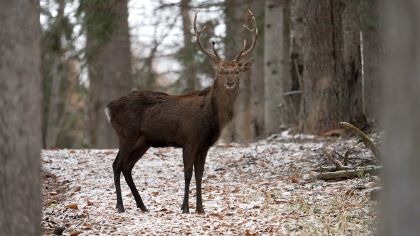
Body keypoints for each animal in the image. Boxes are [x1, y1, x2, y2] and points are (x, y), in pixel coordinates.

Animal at [106, 9, 256, 214]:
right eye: (221, 72)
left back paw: (142, 205)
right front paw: (185, 207)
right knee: (117, 164)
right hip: (126, 134)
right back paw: (120, 206)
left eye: (237, 71)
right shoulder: (189, 139)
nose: (230, 82)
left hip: (142, 141)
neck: (210, 118)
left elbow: (200, 174)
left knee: (127, 167)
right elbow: (187, 173)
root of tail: (110, 107)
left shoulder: (204, 144)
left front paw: (200, 208)